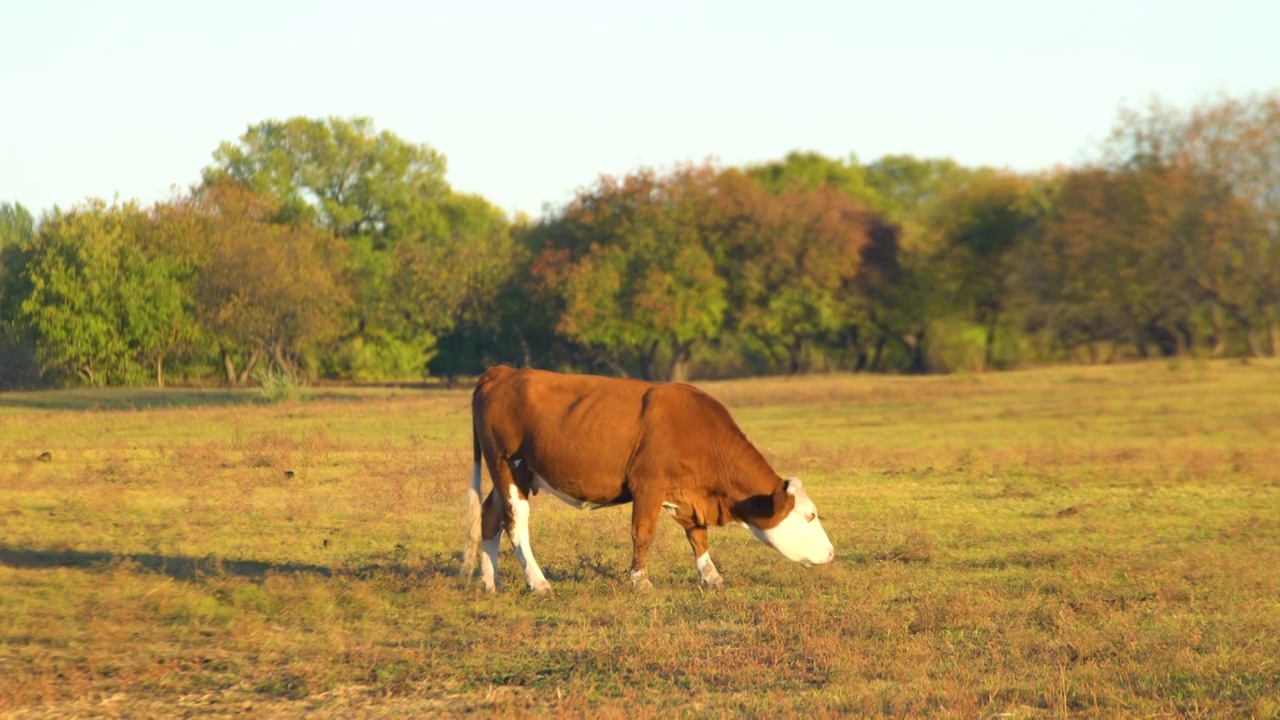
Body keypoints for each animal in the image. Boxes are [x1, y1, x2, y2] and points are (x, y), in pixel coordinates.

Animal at [465, 363, 834, 589]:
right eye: (810, 515)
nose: (831, 553)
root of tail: (502, 372)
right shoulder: (648, 486)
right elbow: (642, 533)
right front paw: (640, 580)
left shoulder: (686, 496)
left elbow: (697, 536)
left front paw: (711, 576)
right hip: (507, 466)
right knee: (515, 521)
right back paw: (538, 582)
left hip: (515, 475)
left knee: (490, 515)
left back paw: (490, 581)